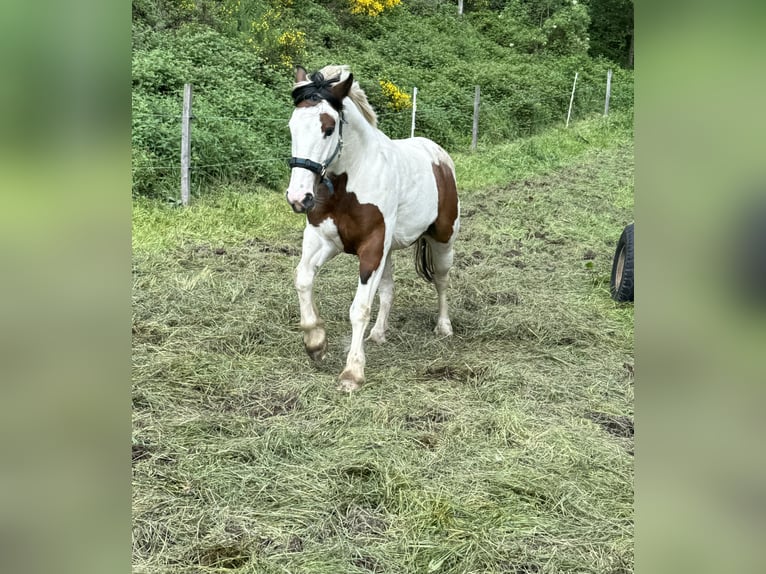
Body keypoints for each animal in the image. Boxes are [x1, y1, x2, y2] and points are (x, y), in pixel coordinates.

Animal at [284, 65, 460, 394]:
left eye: (329, 128)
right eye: (292, 127)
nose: (299, 198)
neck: (349, 182)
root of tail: (439, 156)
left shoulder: (372, 247)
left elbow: (359, 308)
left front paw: (352, 373)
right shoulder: (323, 240)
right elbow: (303, 279)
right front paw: (316, 343)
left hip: (442, 240)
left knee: (441, 280)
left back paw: (444, 327)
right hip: (389, 250)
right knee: (389, 290)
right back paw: (378, 334)